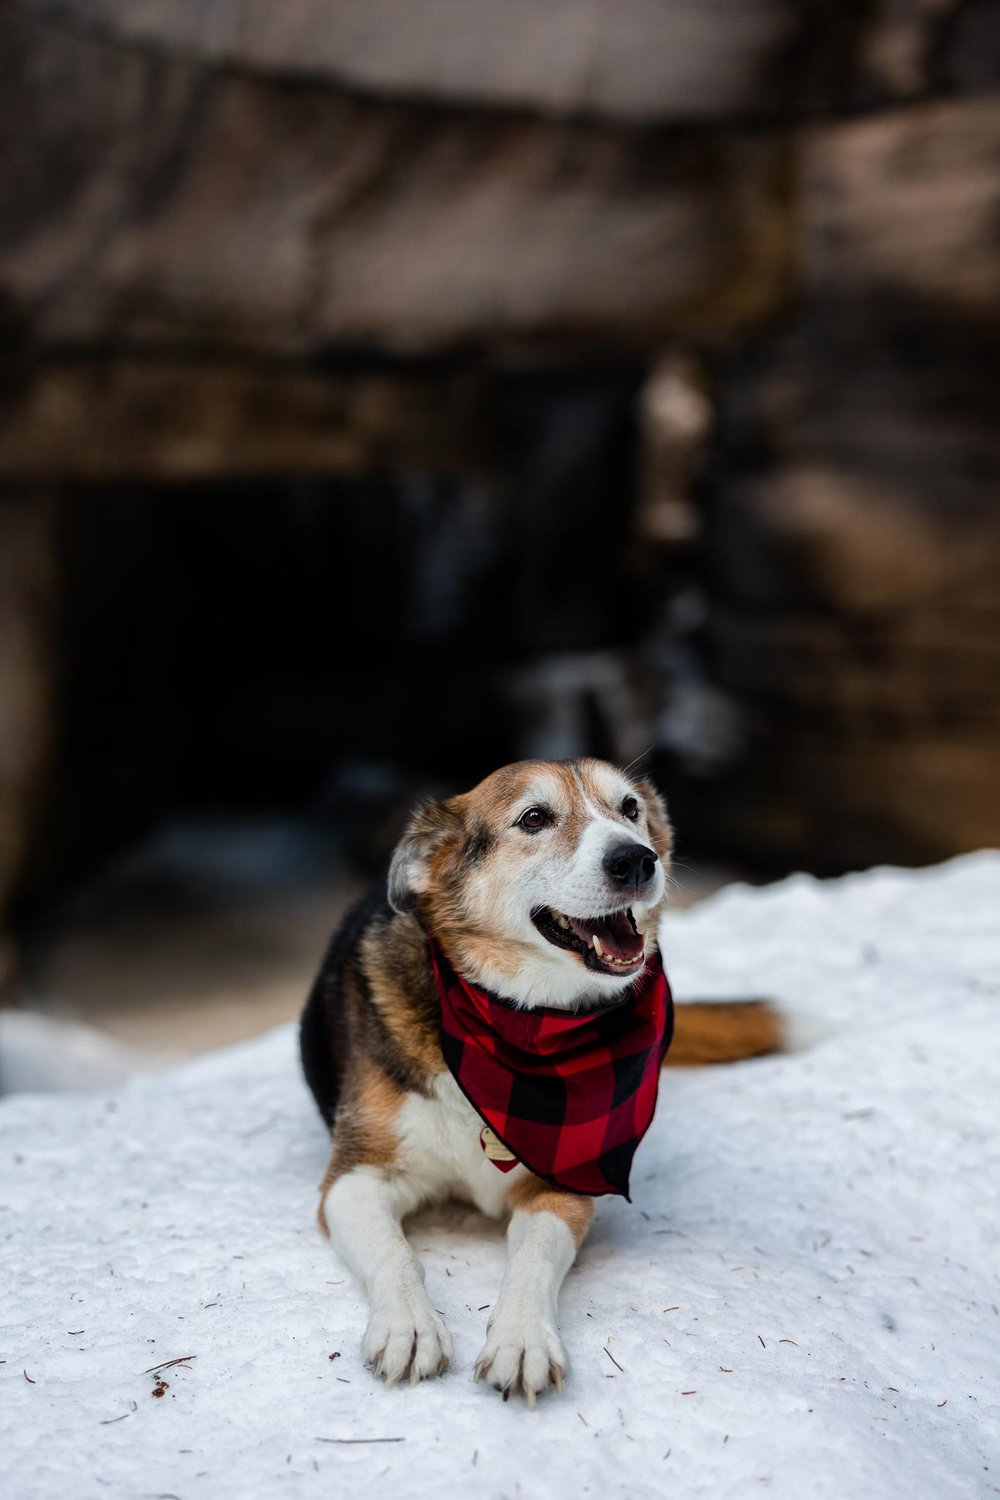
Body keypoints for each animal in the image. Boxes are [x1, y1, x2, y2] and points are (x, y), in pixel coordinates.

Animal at [301, 762, 785, 1404]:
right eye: (534, 818)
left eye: (629, 808)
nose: (636, 860)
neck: (521, 1027)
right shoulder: (355, 1177)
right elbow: (396, 1252)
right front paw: (409, 1326)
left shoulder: (564, 1183)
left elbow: (531, 1258)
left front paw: (522, 1342)